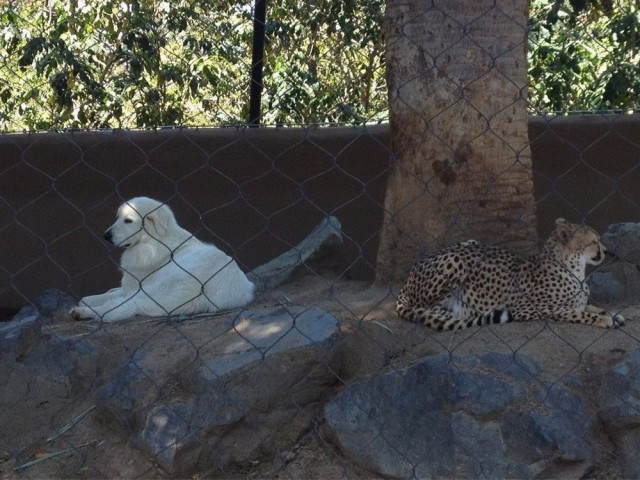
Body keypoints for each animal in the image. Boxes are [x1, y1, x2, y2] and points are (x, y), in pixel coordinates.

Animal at [71, 197, 256, 320]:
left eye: (128, 221)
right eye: (117, 218)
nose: (105, 236)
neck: (153, 241)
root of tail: (199, 294)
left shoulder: (133, 287)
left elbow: (92, 298)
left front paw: (86, 303)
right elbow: (109, 292)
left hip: (152, 287)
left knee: (120, 304)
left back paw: (81, 313)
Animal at [396, 219, 624, 332]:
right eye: (593, 242)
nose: (606, 251)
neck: (574, 269)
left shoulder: (578, 301)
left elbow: (590, 306)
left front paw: (612, 315)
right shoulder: (530, 309)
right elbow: (577, 313)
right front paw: (602, 319)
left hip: (471, 242)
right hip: (456, 261)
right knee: (426, 309)